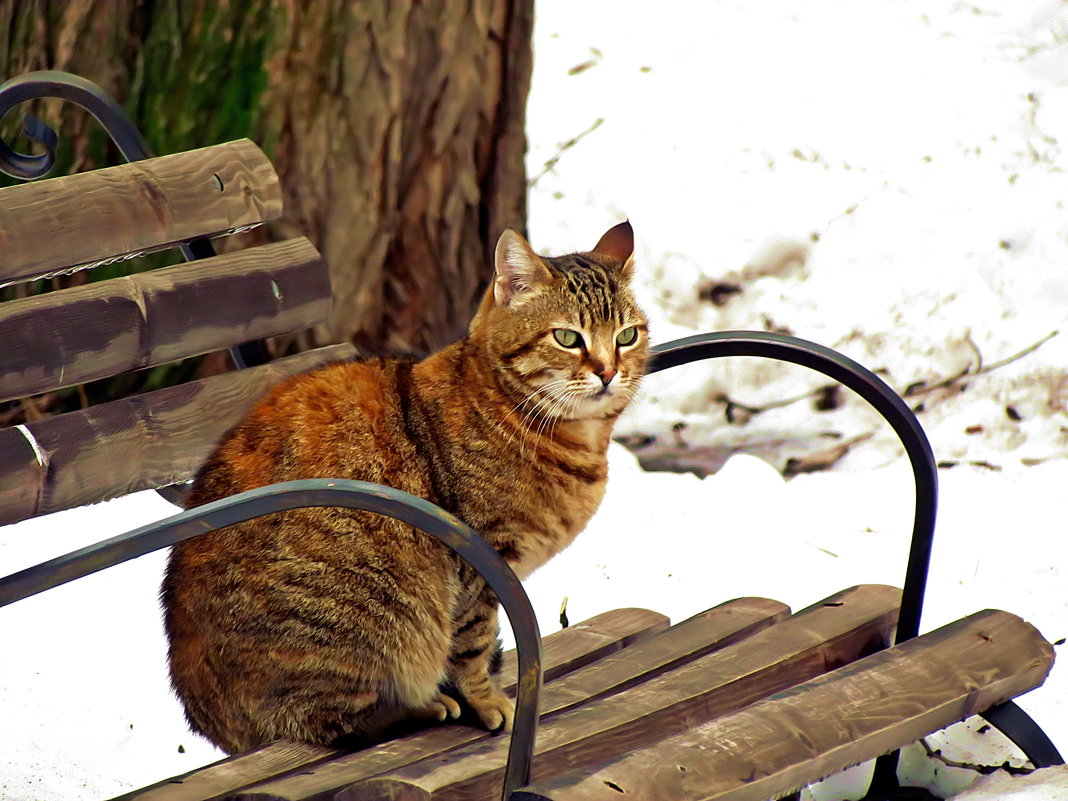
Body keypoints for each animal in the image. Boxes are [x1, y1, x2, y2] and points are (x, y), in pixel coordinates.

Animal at [163, 220, 649, 751]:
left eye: (627, 336)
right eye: (567, 337)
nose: (609, 371)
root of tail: (206, 720)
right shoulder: (477, 568)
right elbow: (472, 644)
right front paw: (485, 700)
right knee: (327, 721)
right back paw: (420, 706)